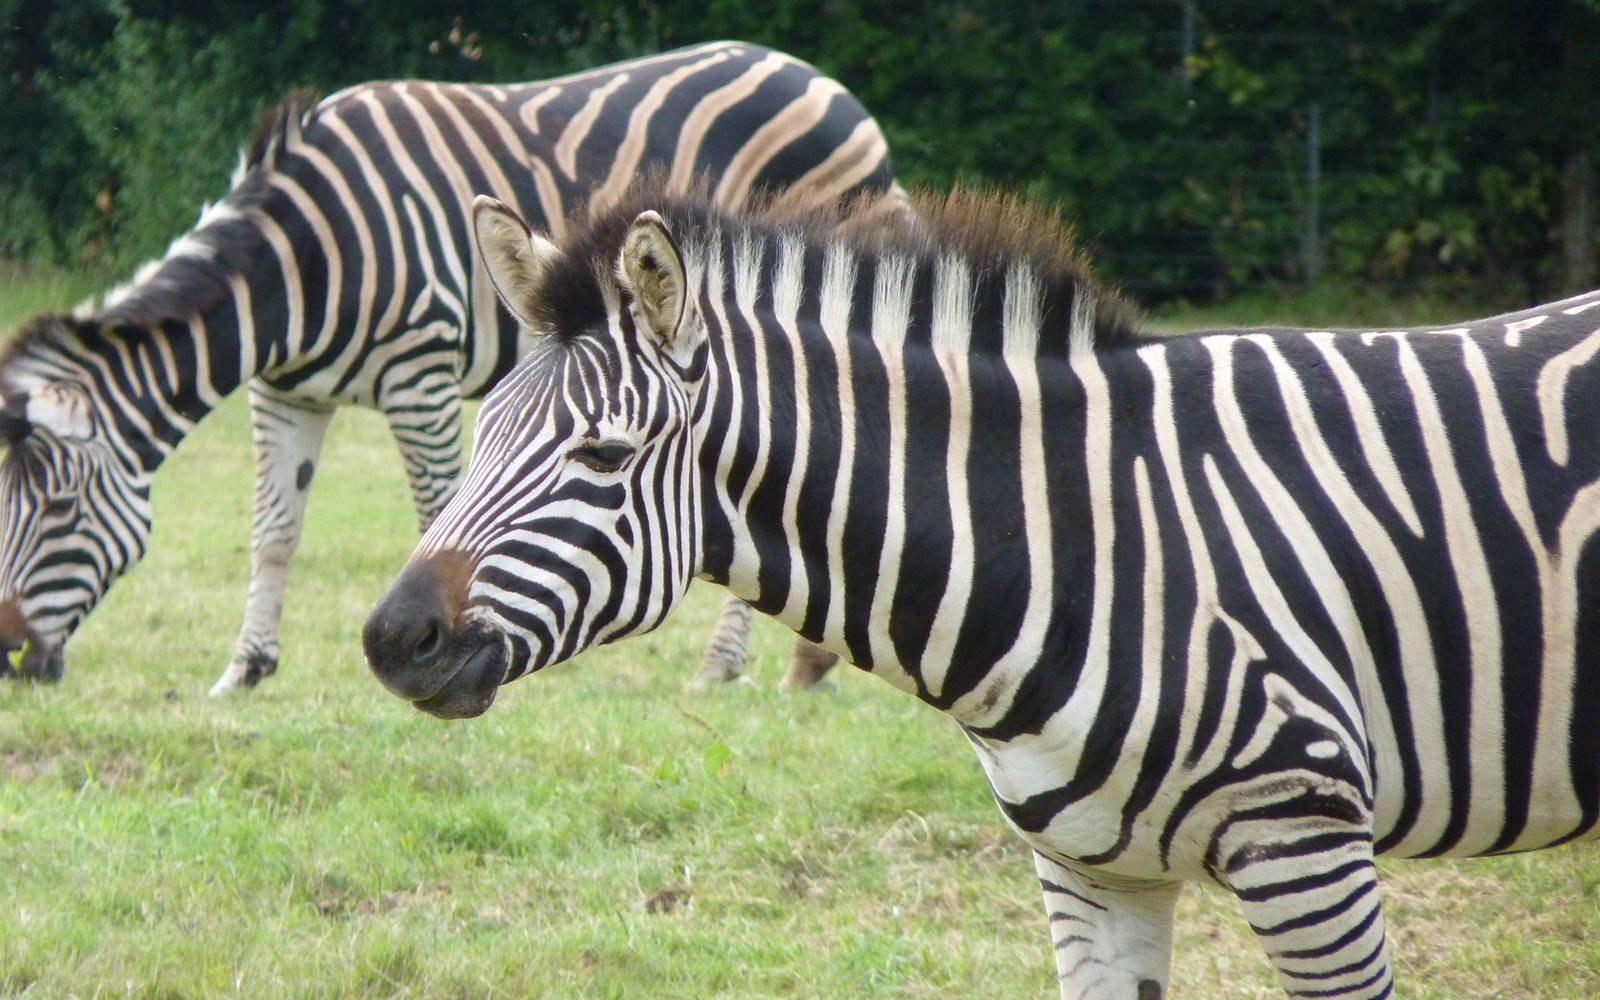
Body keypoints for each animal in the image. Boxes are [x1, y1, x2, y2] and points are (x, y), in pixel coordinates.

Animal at [0, 41, 901, 692]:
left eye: (58, 509)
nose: (11, 662)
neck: (298, 265)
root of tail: (830, 85)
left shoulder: (419, 374)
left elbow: (437, 514)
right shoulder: (285, 393)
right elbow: (274, 531)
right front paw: (246, 669)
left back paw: (723, 665)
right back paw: (806, 663)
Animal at [363, 186, 1600, 999]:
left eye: (604, 456)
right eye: (483, 433)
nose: (389, 637)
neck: (1080, 536)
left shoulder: (1304, 835)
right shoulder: (1091, 871)